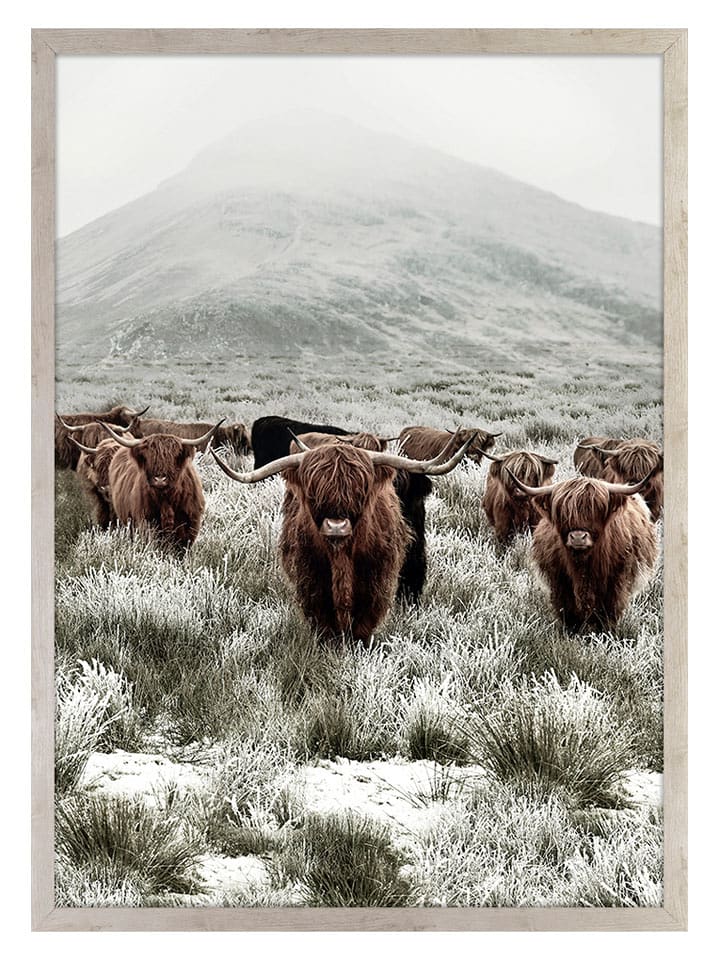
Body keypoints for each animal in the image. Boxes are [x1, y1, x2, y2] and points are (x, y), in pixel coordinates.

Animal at [98, 420, 224, 549]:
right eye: (149, 457)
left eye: (173, 457)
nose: (159, 479)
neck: (166, 500)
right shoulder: (146, 522)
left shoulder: (190, 524)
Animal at [211, 432, 476, 644]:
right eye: (313, 491)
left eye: (360, 489)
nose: (336, 526)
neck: (341, 556)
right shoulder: (311, 578)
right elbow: (322, 618)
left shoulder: (376, 578)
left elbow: (364, 619)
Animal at [507, 471, 657, 632]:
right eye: (562, 512)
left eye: (597, 509)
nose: (578, 537)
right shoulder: (559, 581)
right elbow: (567, 611)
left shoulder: (617, 581)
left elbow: (609, 611)